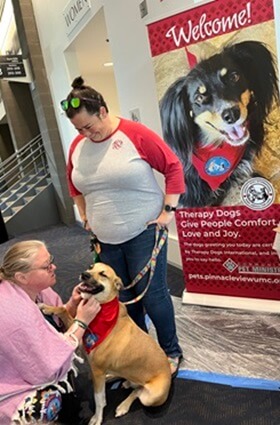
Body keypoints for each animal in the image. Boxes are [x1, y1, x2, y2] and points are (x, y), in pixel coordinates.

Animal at [42, 262, 172, 424]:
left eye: (103, 274)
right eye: (91, 267)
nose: (84, 274)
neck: (103, 308)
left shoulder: (97, 370)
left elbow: (99, 399)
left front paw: (97, 418)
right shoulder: (81, 340)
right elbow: (64, 310)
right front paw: (47, 308)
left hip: (152, 396)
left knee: (137, 392)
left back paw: (123, 406)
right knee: (130, 384)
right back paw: (115, 379)